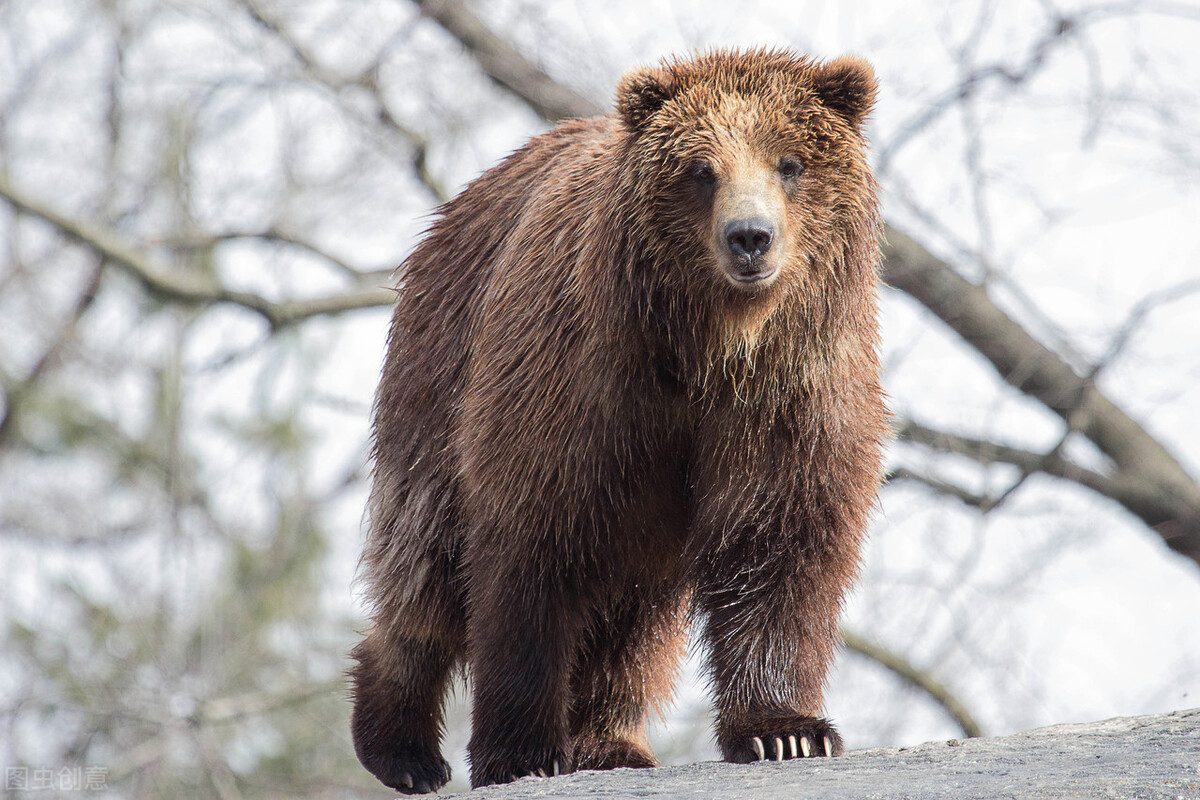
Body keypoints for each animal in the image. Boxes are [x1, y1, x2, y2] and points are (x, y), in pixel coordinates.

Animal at [350, 47, 888, 791]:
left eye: (790, 162)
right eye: (701, 169)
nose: (749, 237)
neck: (708, 350)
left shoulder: (788, 399)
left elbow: (779, 542)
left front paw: (786, 731)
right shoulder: (582, 390)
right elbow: (532, 552)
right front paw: (521, 751)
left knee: (631, 612)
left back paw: (610, 741)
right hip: (438, 373)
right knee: (426, 558)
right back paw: (402, 748)